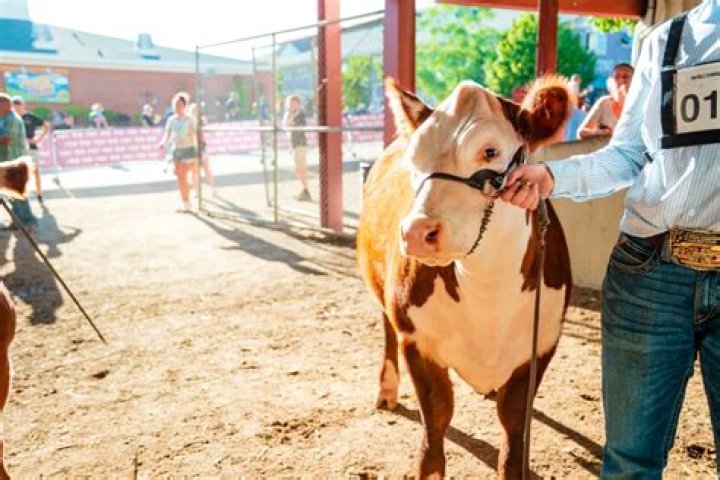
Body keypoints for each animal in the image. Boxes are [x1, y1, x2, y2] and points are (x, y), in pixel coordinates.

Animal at [356, 78, 572, 479]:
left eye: (490, 151)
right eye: (415, 158)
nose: (416, 232)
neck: (488, 297)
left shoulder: (541, 344)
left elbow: (514, 429)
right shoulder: (417, 341)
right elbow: (436, 424)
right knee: (387, 330)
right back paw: (387, 391)